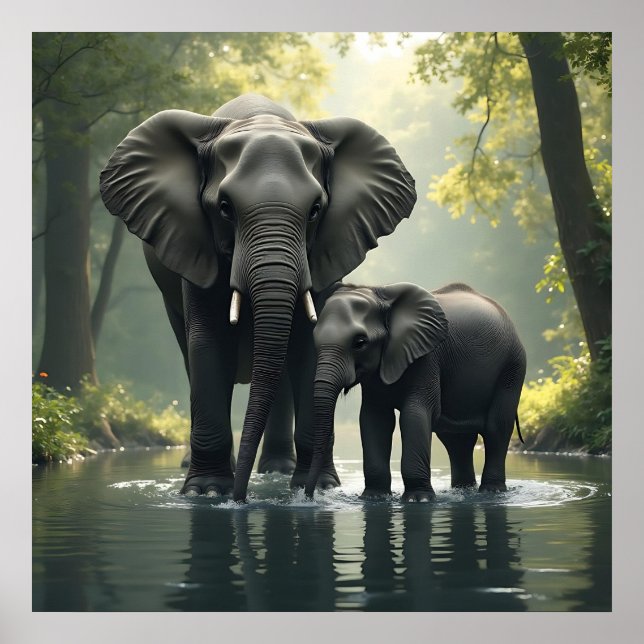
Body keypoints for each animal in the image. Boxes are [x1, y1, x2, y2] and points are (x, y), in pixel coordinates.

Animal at [99, 94, 416, 502]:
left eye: (315, 210)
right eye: (224, 208)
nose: (241, 497)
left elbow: (309, 344)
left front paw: (320, 488)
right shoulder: (196, 246)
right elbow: (208, 344)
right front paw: (207, 493)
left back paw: (276, 469)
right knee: (189, 356)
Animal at [305, 282, 526, 502]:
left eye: (360, 342)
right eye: (314, 339)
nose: (309, 496)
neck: (378, 293)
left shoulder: (427, 357)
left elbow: (414, 414)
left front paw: (418, 499)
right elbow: (374, 418)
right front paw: (373, 497)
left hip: (512, 367)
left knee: (496, 428)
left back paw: (491, 492)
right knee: (456, 439)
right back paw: (462, 491)